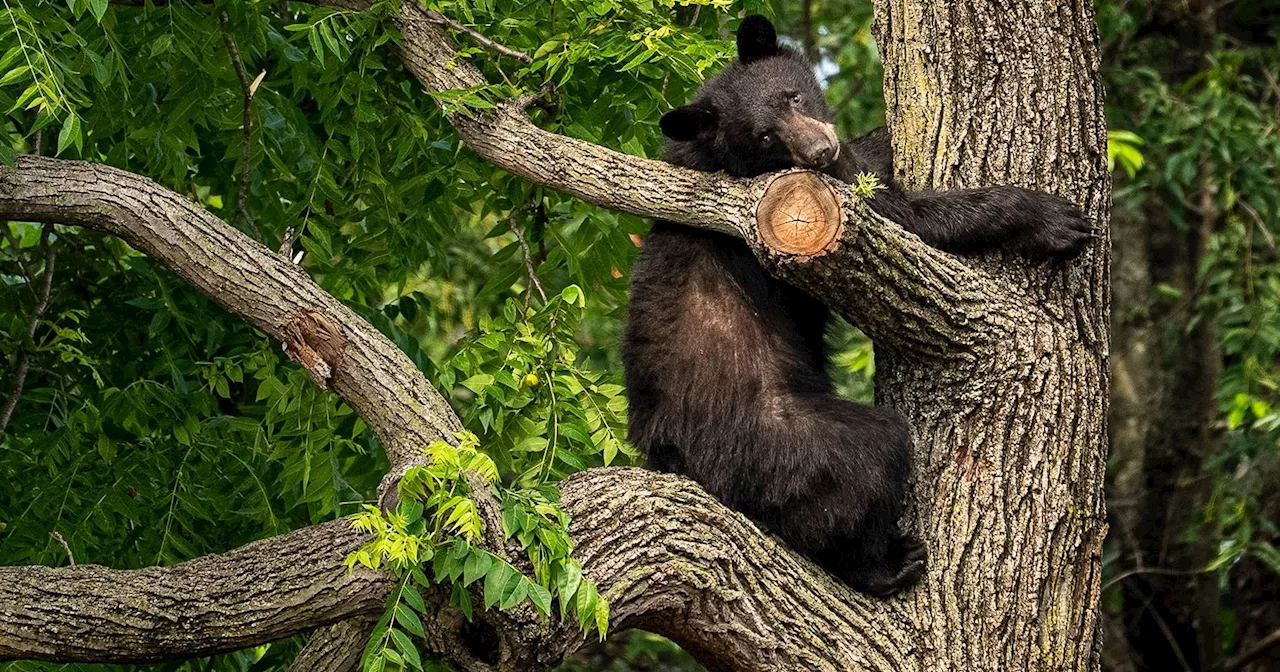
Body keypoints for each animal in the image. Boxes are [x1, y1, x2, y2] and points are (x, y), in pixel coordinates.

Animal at [619, 14, 1090, 591]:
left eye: (794, 95)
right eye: (766, 137)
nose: (821, 150)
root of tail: (673, 458)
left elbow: (868, 165)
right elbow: (905, 219)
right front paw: (1051, 219)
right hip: (781, 440)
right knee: (865, 463)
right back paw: (886, 563)